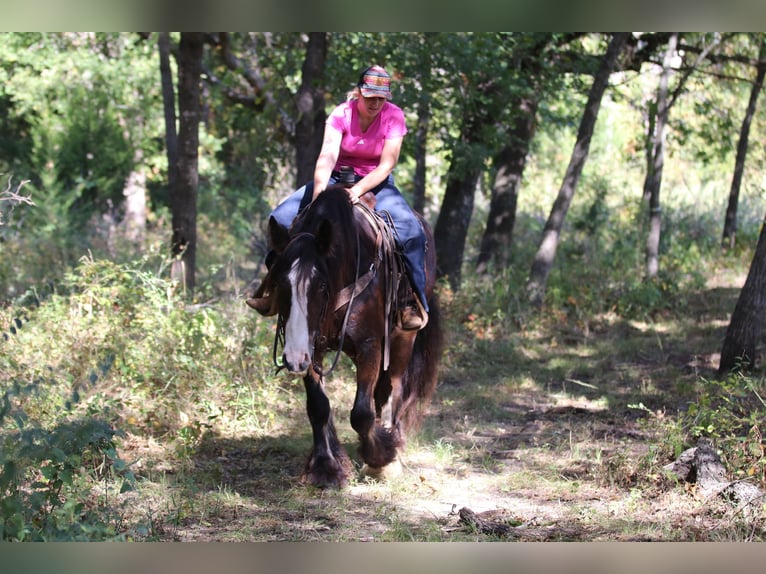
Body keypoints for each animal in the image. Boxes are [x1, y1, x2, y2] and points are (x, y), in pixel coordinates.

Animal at [249, 186, 444, 490]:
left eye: (320, 285)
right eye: (279, 282)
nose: (292, 359)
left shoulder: (370, 347)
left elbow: (361, 413)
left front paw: (380, 458)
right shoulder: (312, 348)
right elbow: (318, 407)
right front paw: (326, 467)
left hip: (403, 338)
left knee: (393, 389)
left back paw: (393, 448)